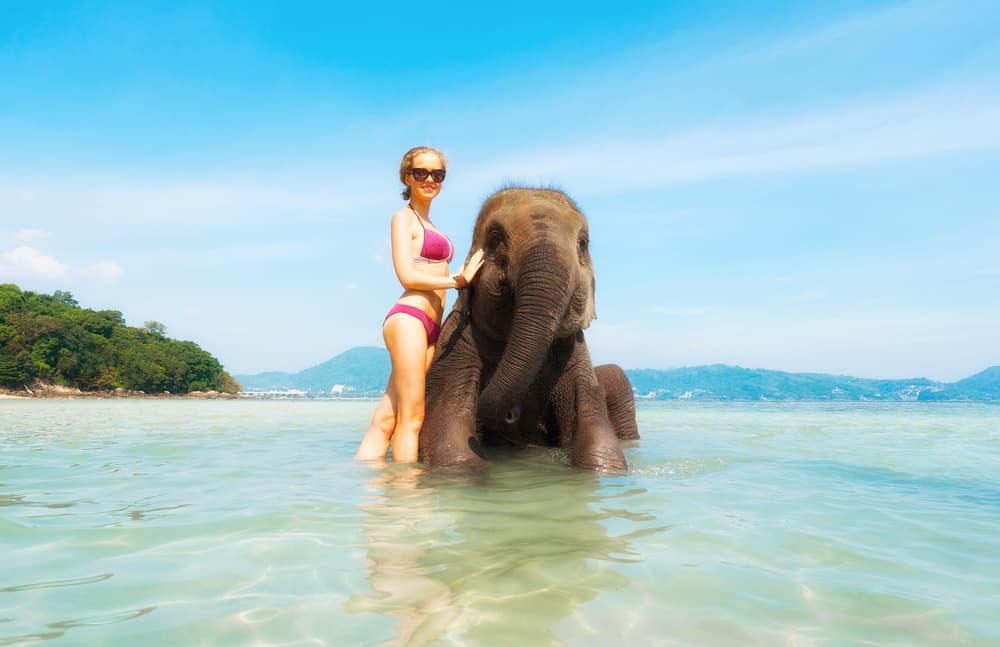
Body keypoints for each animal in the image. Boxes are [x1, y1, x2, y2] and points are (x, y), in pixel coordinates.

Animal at [420, 187, 639, 472]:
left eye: (583, 243)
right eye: (494, 238)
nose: (512, 414)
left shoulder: (576, 354)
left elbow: (600, 446)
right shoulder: (455, 349)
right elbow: (452, 448)